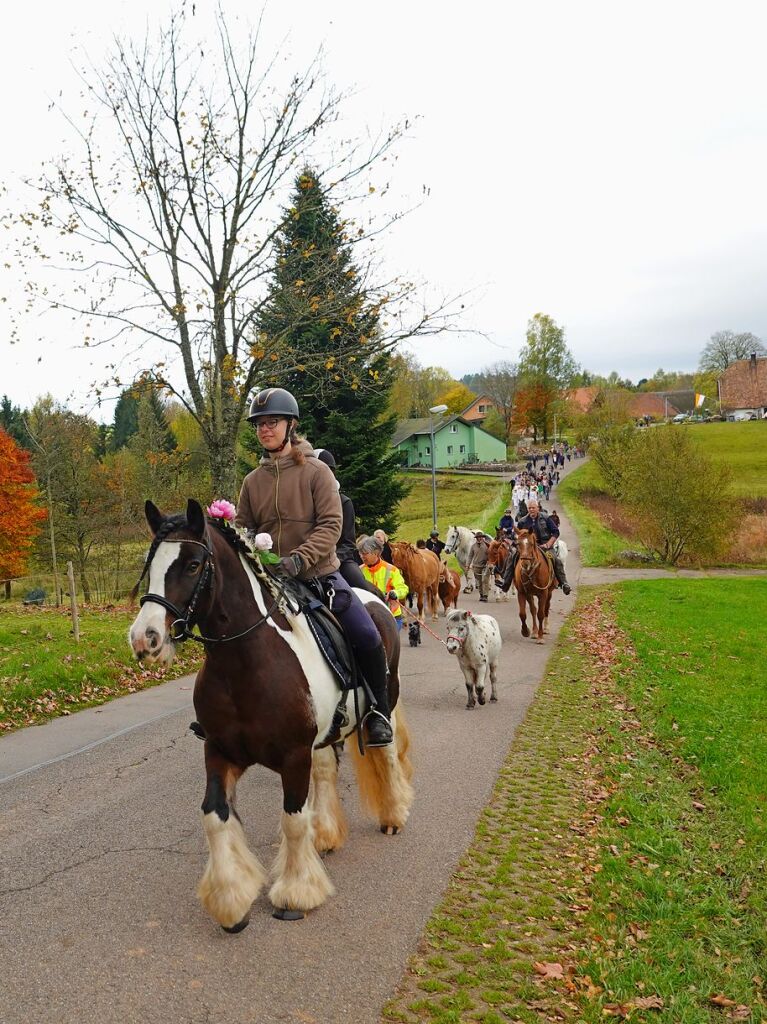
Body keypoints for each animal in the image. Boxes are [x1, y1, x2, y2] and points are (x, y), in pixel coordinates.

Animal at [128, 499, 413, 933]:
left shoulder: (293, 756)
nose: (144, 638)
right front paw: (230, 901)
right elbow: (215, 816)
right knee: (326, 772)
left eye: (193, 564)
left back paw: (393, 813)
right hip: (324, 734)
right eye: (152, 563)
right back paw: (325, 836)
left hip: (387, 700)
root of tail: (376, 599)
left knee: (386, 751)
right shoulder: (220, 752)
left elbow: (292, 820)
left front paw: (295, 894)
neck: (244, 662)